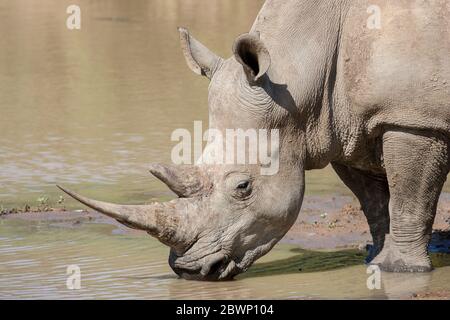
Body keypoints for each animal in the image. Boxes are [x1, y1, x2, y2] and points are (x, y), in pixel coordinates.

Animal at [59, 0, 450, 280]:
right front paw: (375, 259)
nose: (189, 271)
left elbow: (407, 199)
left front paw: (400, 270)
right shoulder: (346, 127)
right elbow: (374, 203)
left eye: (243, 187)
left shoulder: (413, 119)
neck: (298, 75)